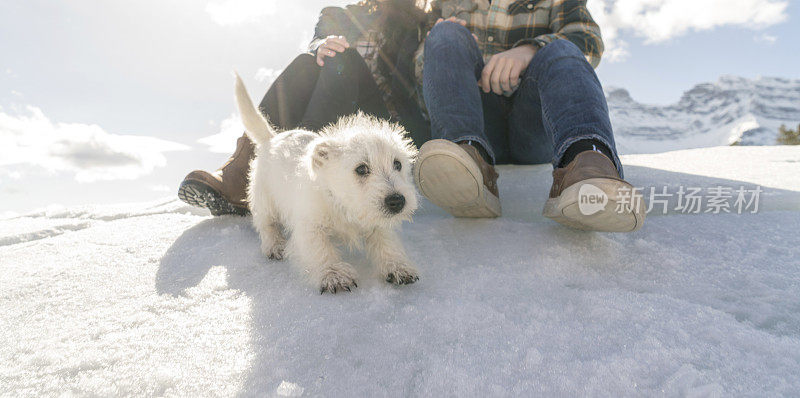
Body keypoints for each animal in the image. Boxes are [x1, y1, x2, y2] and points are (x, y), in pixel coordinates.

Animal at [233, 74, 418, 292]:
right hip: (264, 198)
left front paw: (397, 266)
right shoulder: (309, 226)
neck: (342, 205)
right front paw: (334, 274)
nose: (397, 201)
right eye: (361, 169)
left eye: (397, 164)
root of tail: (272, 138)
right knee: (266, 224)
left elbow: (387, 241)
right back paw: (274, 245)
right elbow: (320, 248)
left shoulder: (377, 223)